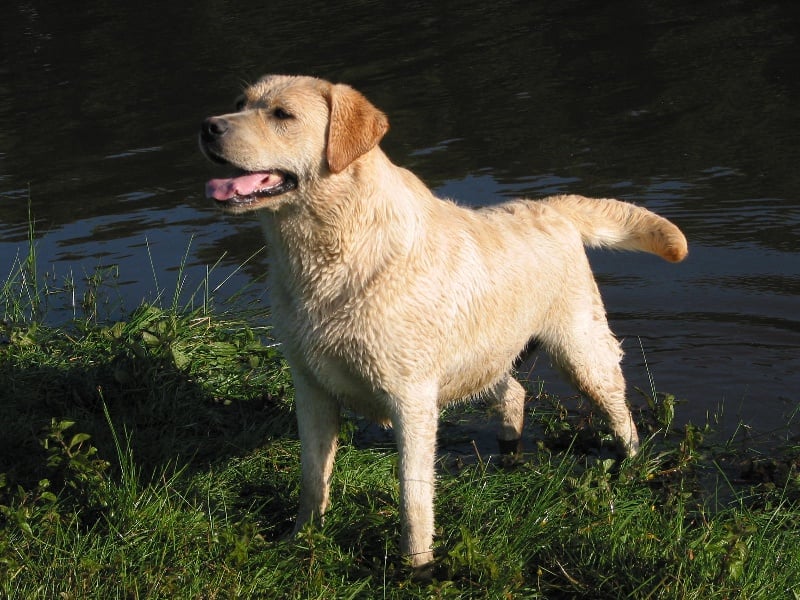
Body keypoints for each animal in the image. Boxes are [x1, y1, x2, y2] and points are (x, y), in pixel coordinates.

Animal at [200, 74, 688, 568]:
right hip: (482, 355)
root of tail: (548, 207)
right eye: (240, 102)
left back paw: (631, 465)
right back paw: (508, 448)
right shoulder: (311, 387)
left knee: (621, 414)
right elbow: (312, 476)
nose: (208, 126)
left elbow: (412, 496)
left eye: (282, 114)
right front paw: (300, 539)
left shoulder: (411, 398)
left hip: (580, 351)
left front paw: (417, 567)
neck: (331, 250)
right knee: (514, 392)